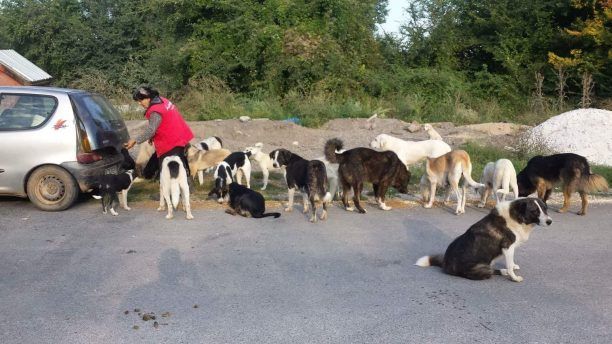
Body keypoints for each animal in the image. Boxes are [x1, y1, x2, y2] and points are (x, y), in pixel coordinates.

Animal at [416, 196, 556, 282]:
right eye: (535, 211)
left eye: (545, 209)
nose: (550, 222)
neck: (517, 216)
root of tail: (445, 264)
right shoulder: (507, 247)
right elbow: (509, 265)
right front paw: (514, 277)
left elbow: (511, 263)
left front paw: (514, 266)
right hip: (484, 269)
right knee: (493, 271)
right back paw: (504, 272)